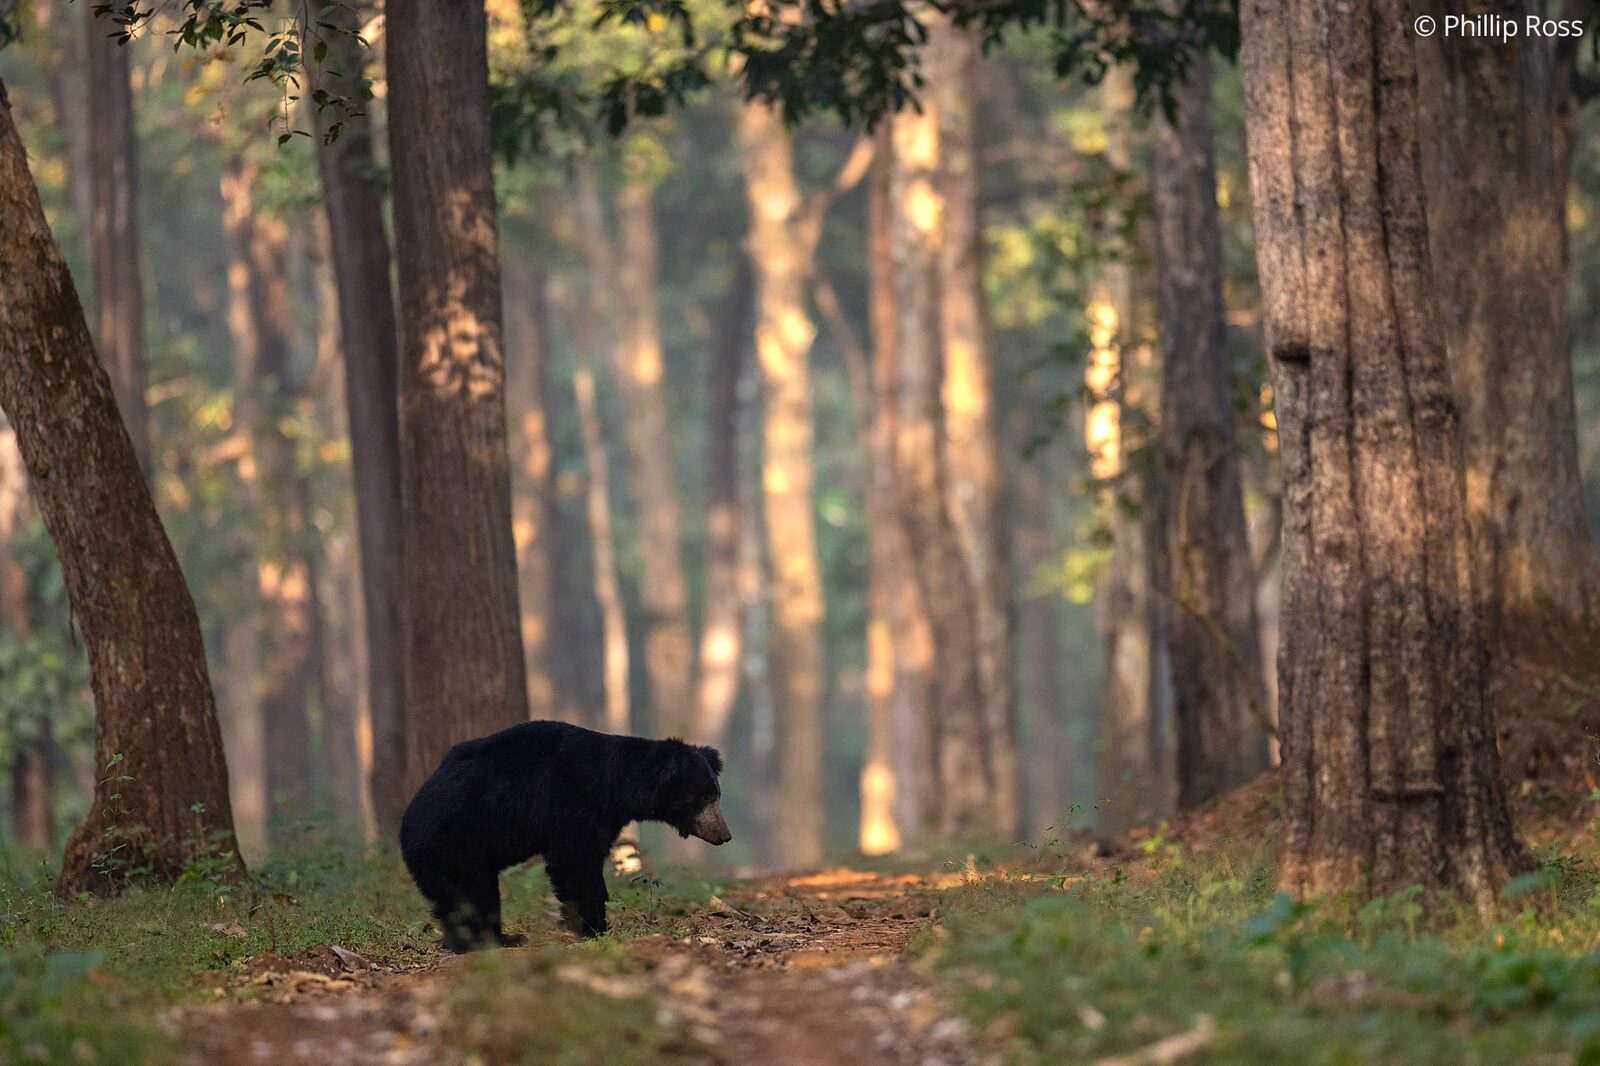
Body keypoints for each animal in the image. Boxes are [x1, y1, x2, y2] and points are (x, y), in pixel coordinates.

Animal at [400, 720, 730, 951]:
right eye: (703, 797)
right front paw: (594, 927)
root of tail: (406, 825)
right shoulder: (570, 805)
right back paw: (486, 940)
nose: (724, 835)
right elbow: (575, 863)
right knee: (471, 893)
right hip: (459, 843)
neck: (616, 790)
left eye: (717, 794)